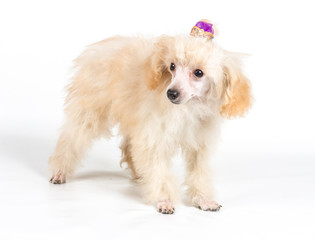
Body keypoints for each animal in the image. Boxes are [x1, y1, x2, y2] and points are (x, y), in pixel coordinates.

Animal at [48, 20, 252, 214]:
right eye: (172, 66)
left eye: (198, 73)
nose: (171, 93)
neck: (187, 108)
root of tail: (104, 45)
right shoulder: (154, 137)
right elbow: (159, 172)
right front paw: (165, 200)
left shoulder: (198, 144)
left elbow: (198, 172)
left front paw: (203, 199)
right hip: (90, 110)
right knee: (72, 138)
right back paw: (59, 171)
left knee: (129, 147)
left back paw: (140, 174)